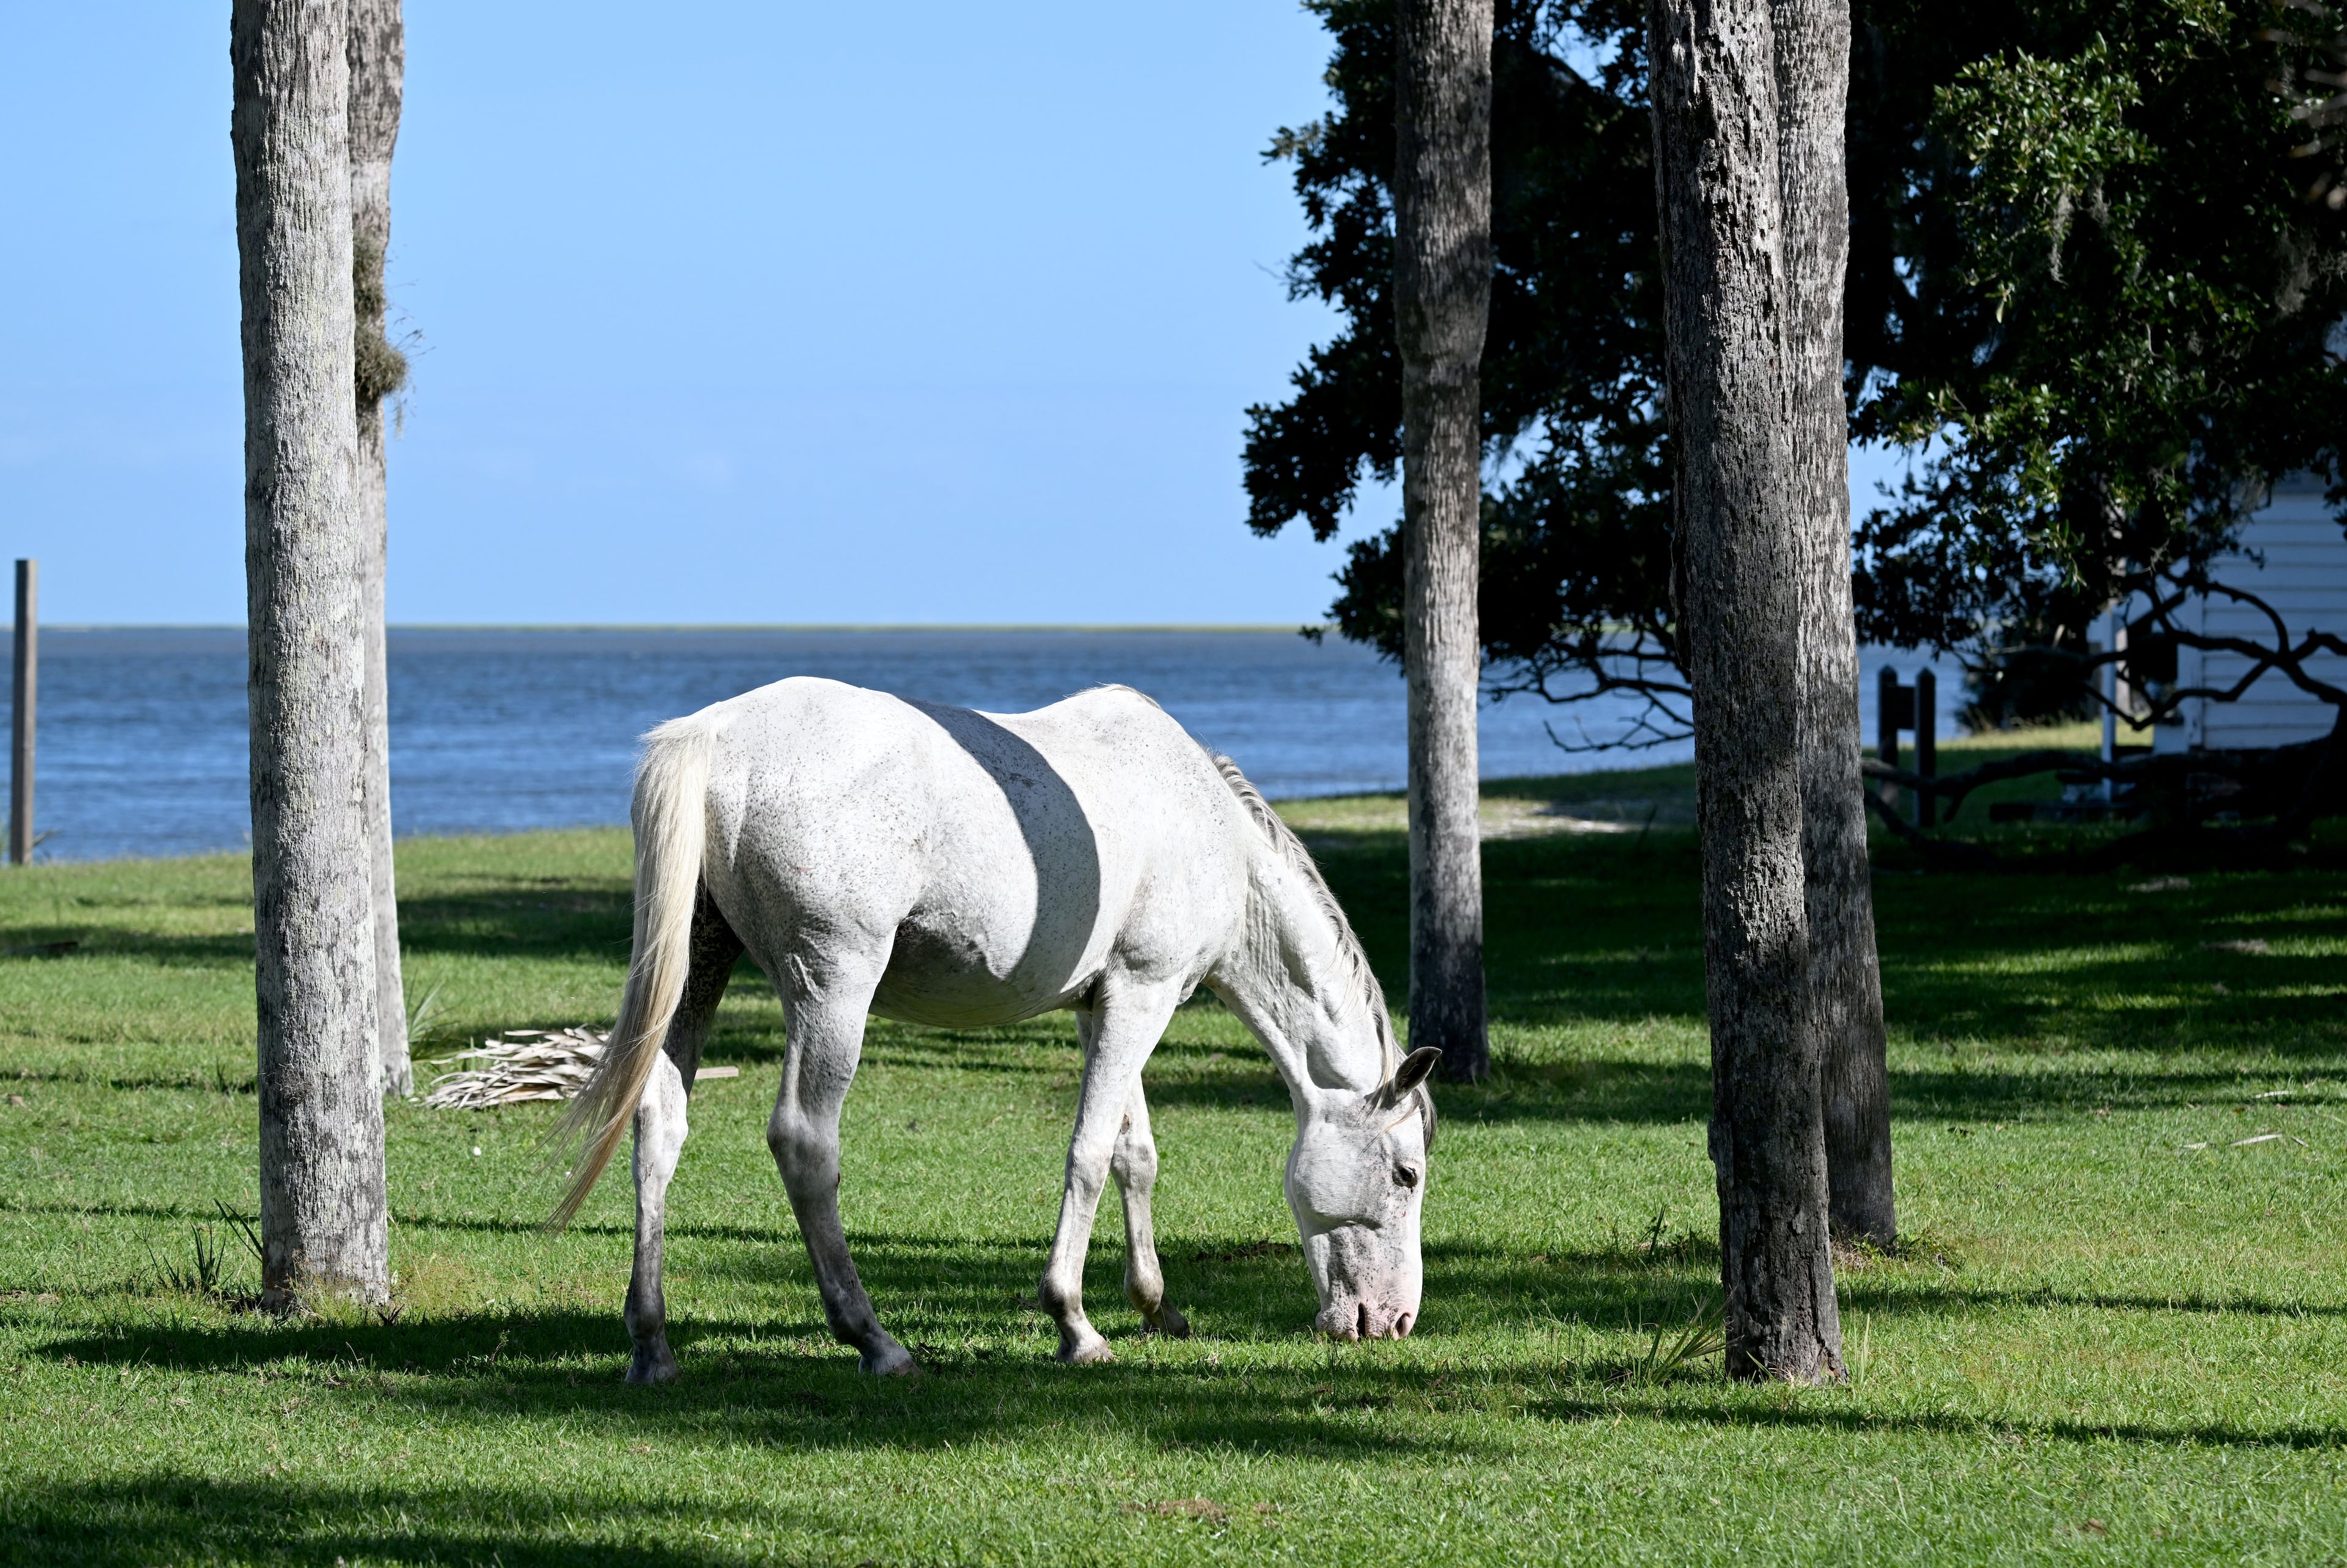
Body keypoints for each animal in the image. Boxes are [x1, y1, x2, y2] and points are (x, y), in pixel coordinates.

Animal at [552, 677, 1440, 1378]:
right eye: (1406, 1174)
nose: (1394, 1321)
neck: (1204, 821)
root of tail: (717, 735)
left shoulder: (1104, 1005)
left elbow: (1135, 1155)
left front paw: (1158, 1308)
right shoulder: (1145, 994)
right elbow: (1089, 1154)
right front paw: (1075, 1324)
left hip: (698, 966)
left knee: (659, 1127)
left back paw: (652, 1345)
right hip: (832, 989)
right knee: (804, 1142)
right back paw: (876, 1342)